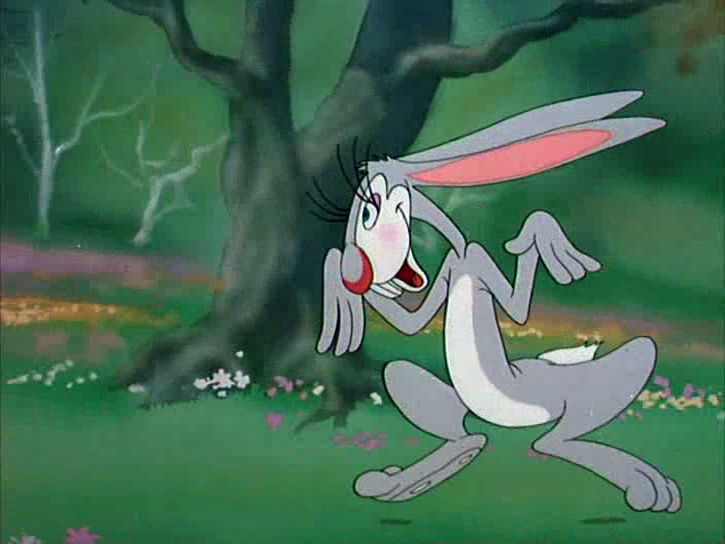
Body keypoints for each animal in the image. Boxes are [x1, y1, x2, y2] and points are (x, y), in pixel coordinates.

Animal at [313, 90, 681, 513]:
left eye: (368, 214)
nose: (357, 263)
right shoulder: (452, 265)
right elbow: (414, 325)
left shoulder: (471, 256)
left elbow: (517, 309)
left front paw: (546, 241)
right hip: (446, 396)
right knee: (453, 421)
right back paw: (418, 475)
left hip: (568, 390)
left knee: (561, 429)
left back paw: (642, 481)